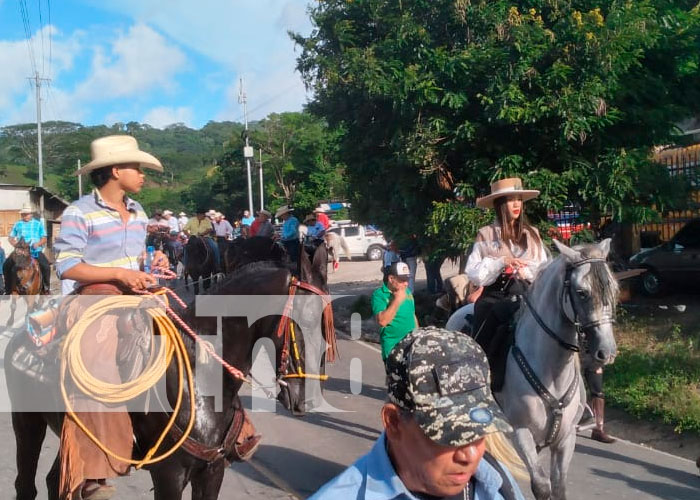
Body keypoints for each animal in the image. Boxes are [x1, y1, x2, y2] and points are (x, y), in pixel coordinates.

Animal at [5, 240, 334, 498]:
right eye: (303, 321)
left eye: (326, 324)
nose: (307, 400)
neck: (200, 378)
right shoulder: (169, 474)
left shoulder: (213, 470)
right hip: (27, 423)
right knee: (26, 484)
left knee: (56, 481)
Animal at [498, 239, 616, 500]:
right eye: (581, 292)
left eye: (613, 289)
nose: (606, 351)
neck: (551, 371)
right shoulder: (521, 432)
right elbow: (542, 485)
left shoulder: (565, 439)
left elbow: (559, 485)